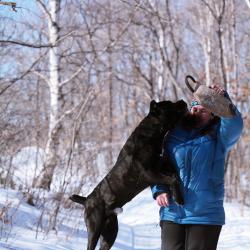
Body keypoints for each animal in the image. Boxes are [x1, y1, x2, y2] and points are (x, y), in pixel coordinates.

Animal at [70, 99, 188, 250]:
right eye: (169, 105)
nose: (182, 100)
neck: (152, 135)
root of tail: (86, 200)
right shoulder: (147, 173)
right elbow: (172, 179)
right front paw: (179, 198)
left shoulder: (159, 166)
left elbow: (173, 174)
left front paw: (175, 193)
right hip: (94, 229)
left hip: (110, 232)